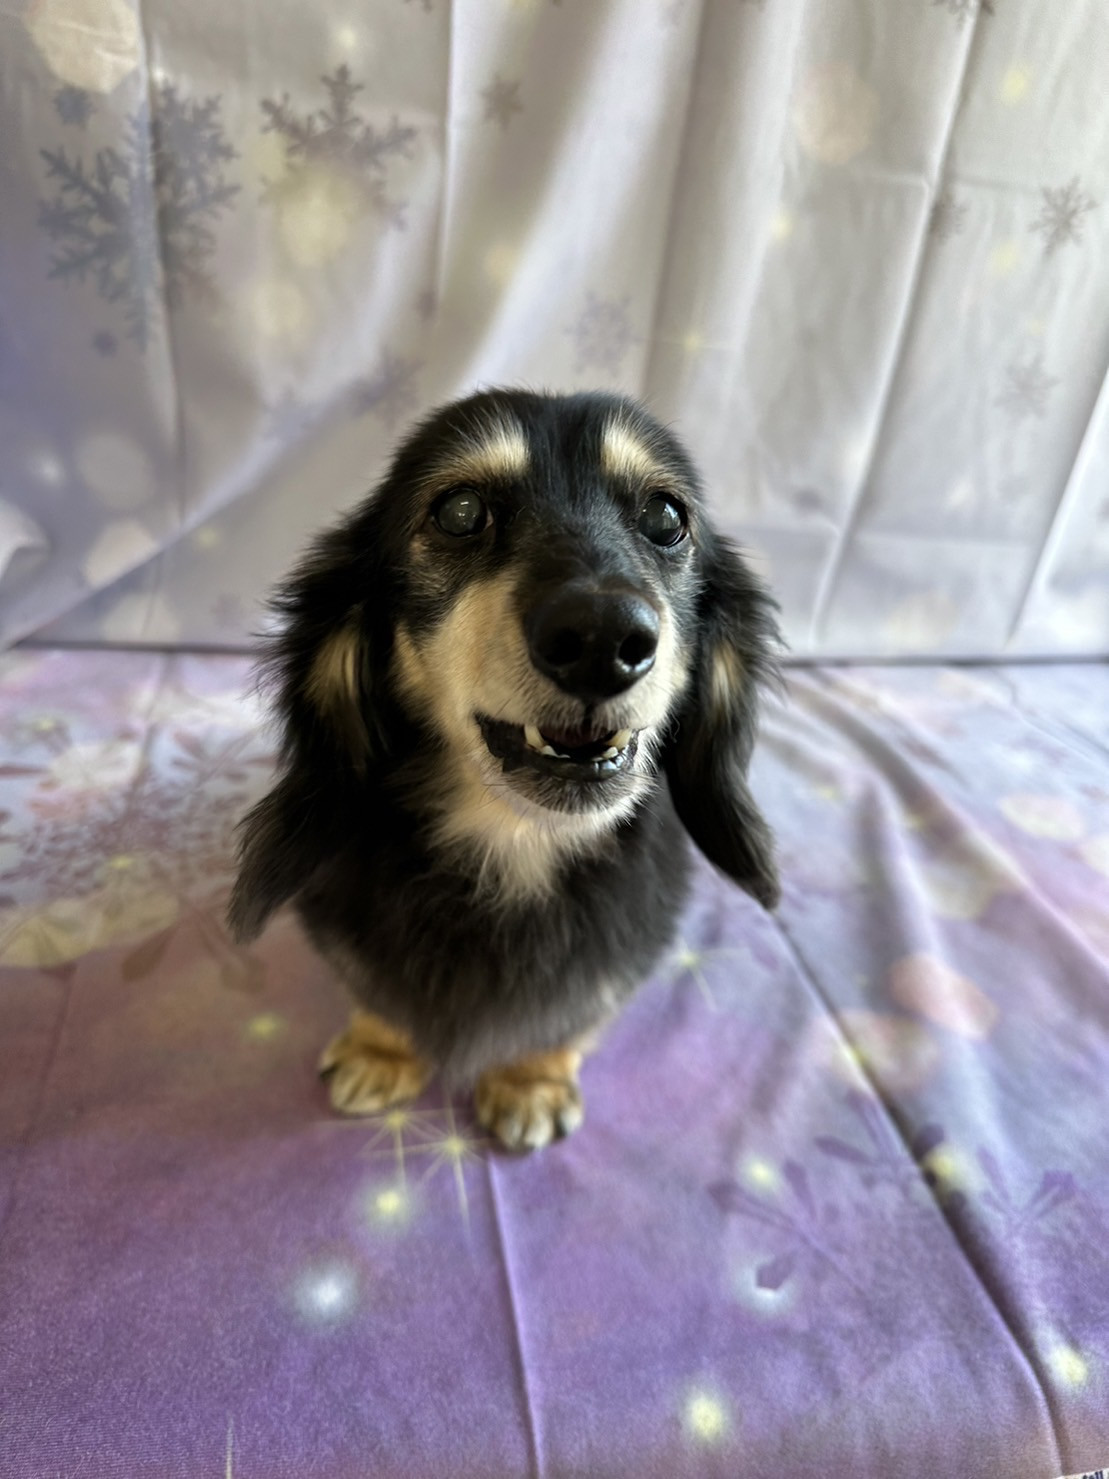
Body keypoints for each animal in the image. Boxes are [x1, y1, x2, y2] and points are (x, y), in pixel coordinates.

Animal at [228, 388, 780, 1150]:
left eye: (667, 518)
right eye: (459, 511)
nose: (603, 638)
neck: (515, 842)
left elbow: (568, 1020)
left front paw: (529, 1081)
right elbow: (376, 995)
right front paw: (380, 1050)